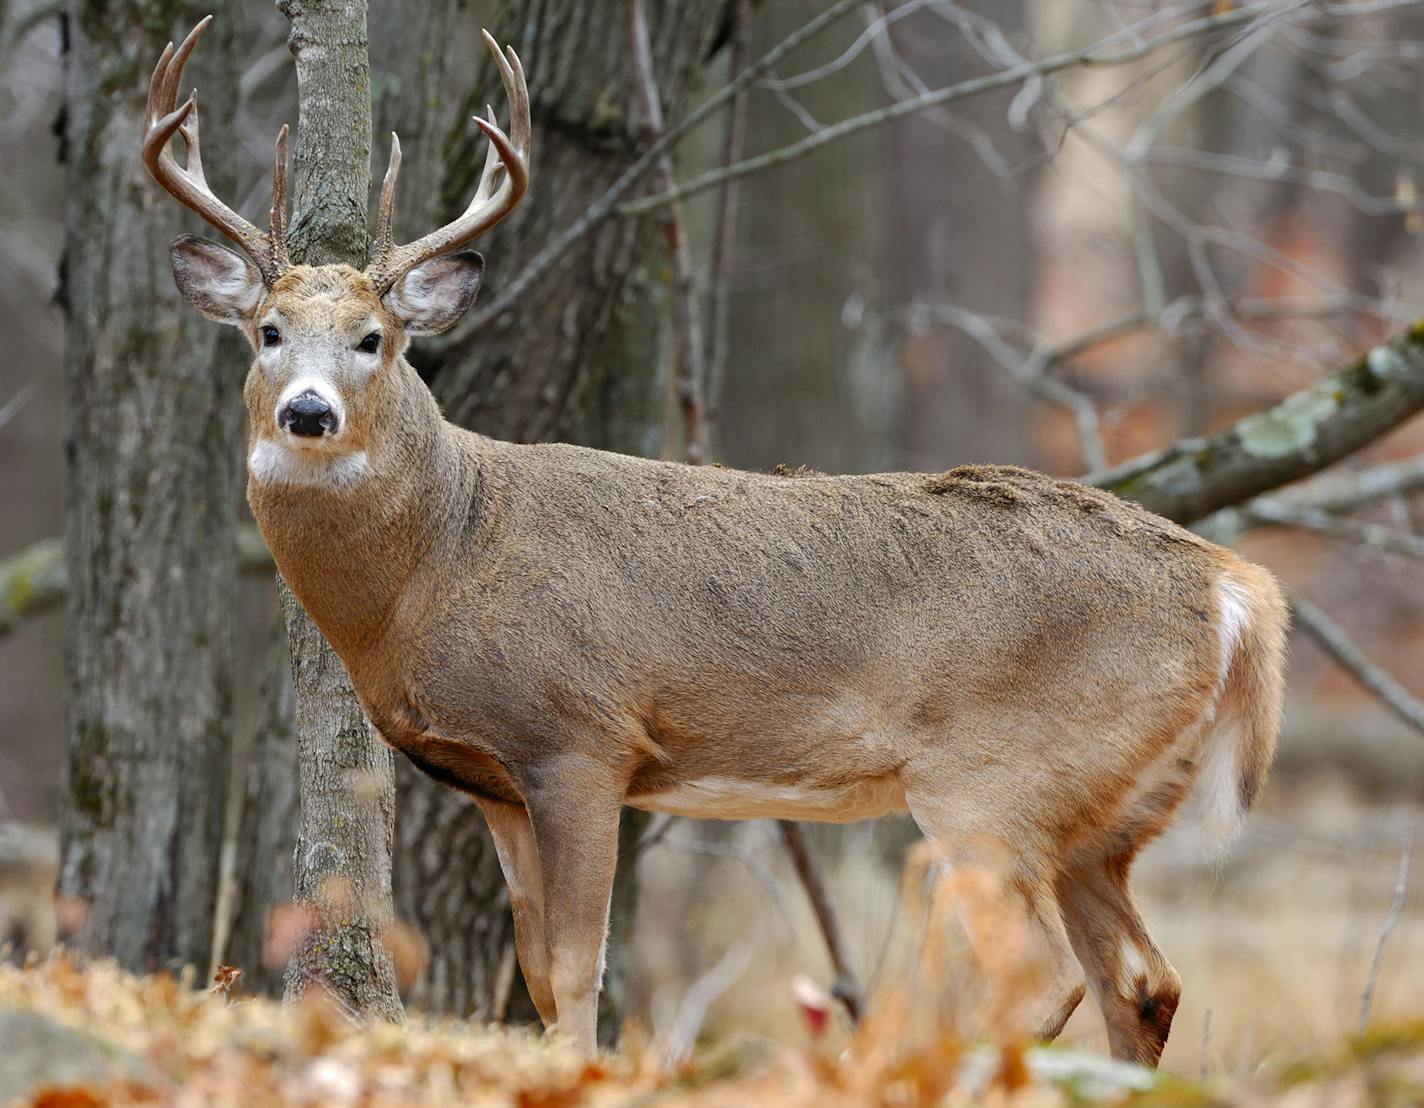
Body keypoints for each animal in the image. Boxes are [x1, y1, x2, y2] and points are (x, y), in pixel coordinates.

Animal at [147, 17, 1292, 1059]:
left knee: (1042, 975)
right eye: (266, 331)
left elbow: (579, 967)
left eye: (374, 339)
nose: (306, 413)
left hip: (994, 781)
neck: (441, 556)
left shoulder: (583, 737)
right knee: (1142, 980)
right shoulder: (494, 781)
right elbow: (536, 972)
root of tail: (1237, 586)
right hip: (1105, 813)